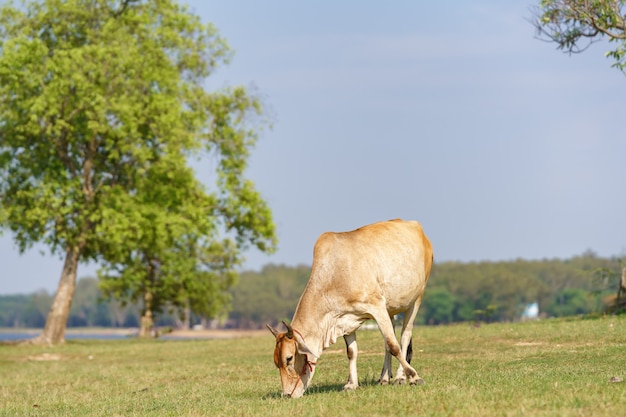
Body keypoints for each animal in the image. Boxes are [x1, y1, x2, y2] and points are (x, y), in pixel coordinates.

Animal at [266, 218, 432, 396]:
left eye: (289, 358)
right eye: (276, 363)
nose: (286, 394)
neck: (334, 276)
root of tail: (415, 226)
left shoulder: (377, 306)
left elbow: (394, 346)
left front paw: (414, 377)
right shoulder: (345, 318)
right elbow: (352, 352)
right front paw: (351, 384)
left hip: (416, 299)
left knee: (404, 337)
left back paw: (400, 377)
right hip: (390, 309)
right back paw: (384, 378)